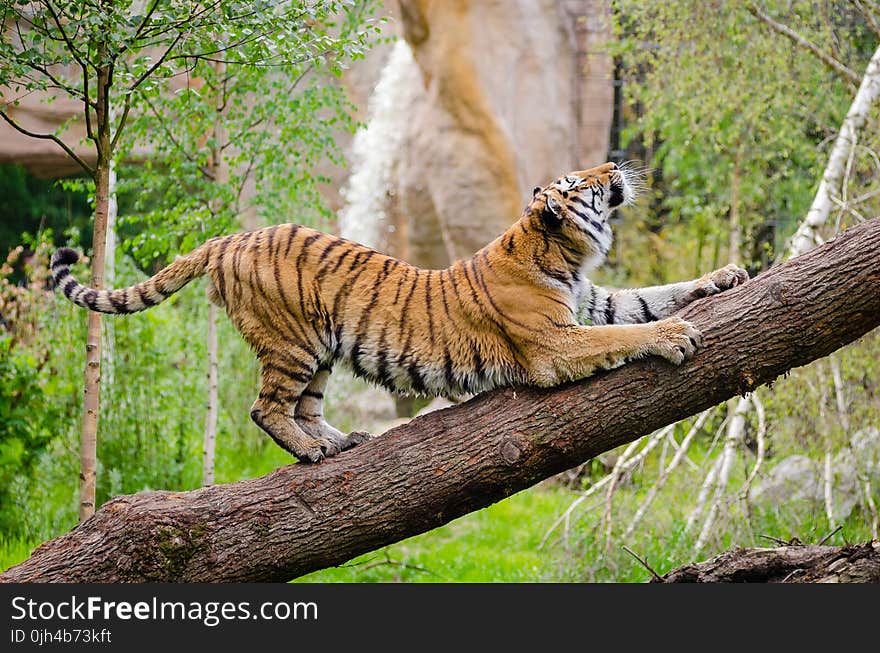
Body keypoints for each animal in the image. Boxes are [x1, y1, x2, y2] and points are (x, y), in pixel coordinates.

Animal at [51, 160, 744, 460]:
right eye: (584, 183)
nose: (615, 165)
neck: (565, 255)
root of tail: (229, 238)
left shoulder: (594, 303)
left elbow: (651, 296)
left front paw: (725, 275)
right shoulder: (555, 344)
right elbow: (628, 333)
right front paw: (676, 336)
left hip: (322, 351)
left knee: (305, 408)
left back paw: (342, 441)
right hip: (294, 343)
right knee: (265, 408)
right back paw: (311, 453)